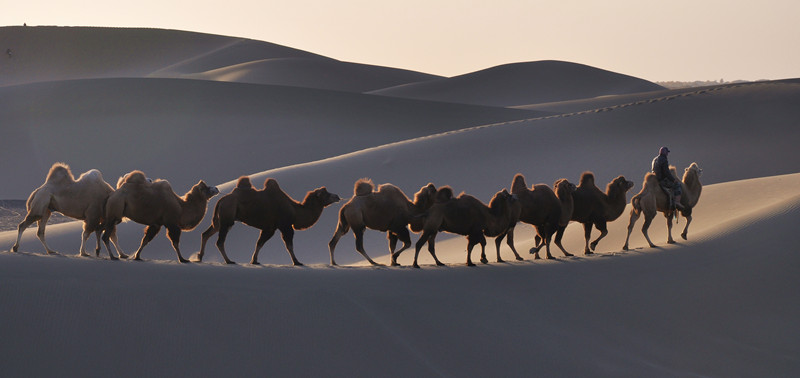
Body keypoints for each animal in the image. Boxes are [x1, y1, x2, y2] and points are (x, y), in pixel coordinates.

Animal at [198, 177, 342, 266]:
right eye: (325, 194)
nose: (337, 196)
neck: (295, 211)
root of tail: (221, 200)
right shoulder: (285, 226)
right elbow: (289, 245)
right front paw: (297, 262)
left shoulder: (269, 228)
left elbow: (259, 243)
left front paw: (254, 261)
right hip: (227, 218)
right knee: (220, 241)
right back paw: (229, 261)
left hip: (220, 220)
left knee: (206, 233)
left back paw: (200, 257)